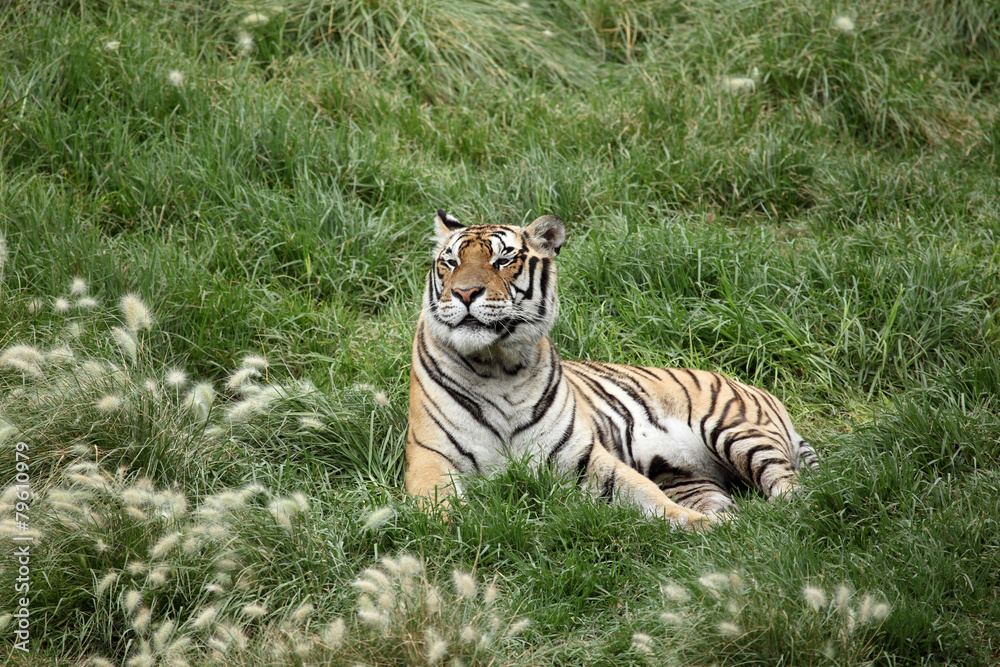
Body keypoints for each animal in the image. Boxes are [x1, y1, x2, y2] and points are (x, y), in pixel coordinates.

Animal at [406, 210, 818, 528]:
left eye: (503, 261)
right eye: (451, 262)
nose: (464, 293)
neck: (498, 367)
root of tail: (760, 391)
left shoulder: (583, 456)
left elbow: (647, 496)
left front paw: (698, 527)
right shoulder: (430, 458)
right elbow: (441, 513)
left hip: (735, 429)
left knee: (792, 488)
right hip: (691, 478)